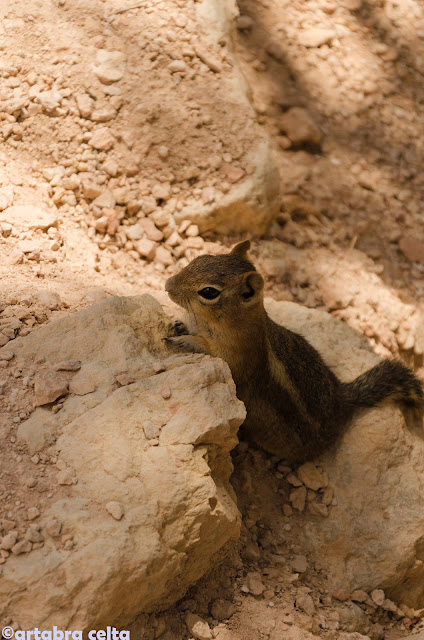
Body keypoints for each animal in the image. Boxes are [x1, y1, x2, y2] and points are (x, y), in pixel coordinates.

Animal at [164, 240, 422, 460]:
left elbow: (217, 355)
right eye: (201, 258)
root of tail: (342, 401)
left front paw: (186, 340)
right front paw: (181, 326)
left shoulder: (237, 356)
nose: (167, 285)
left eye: (209, 292)